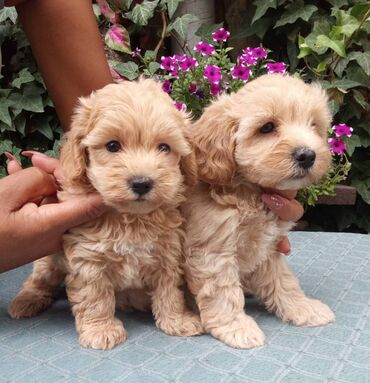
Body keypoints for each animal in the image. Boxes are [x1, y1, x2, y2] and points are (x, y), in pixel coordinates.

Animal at [7, 78, 202, 352]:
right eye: (112, 146)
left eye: (164, 147)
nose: (141, 183)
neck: (130, 218)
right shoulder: (88, 258)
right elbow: (94, 296)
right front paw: (101, 329)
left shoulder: (168, 252)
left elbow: (169, 290)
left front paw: (177, 320)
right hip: (49, 262)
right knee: (39, 280)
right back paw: (25, 301)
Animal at [184, 73, 336, 352]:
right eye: (266, 127)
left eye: (313, 125)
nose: (308, 155)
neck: (250, 193)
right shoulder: (213, 249)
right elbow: (222, 291)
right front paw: (236, 327)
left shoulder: (268, 247)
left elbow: (283, 281)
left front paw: (302, 307)